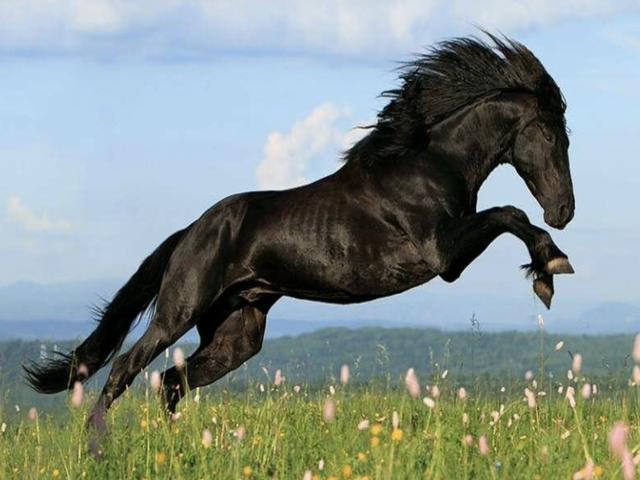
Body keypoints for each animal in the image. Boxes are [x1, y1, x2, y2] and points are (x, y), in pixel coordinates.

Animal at [25, 33, 575, 436]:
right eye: (552, 135)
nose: (564, 211)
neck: (429, 163)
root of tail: (190, 232)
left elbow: (508, 216)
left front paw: (548, 270)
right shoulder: (444, 257)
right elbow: (510, 214)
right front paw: (550, 268)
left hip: (237, 332)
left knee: (172, 381)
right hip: (178, 311)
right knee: (127, 368)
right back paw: (98, 444)